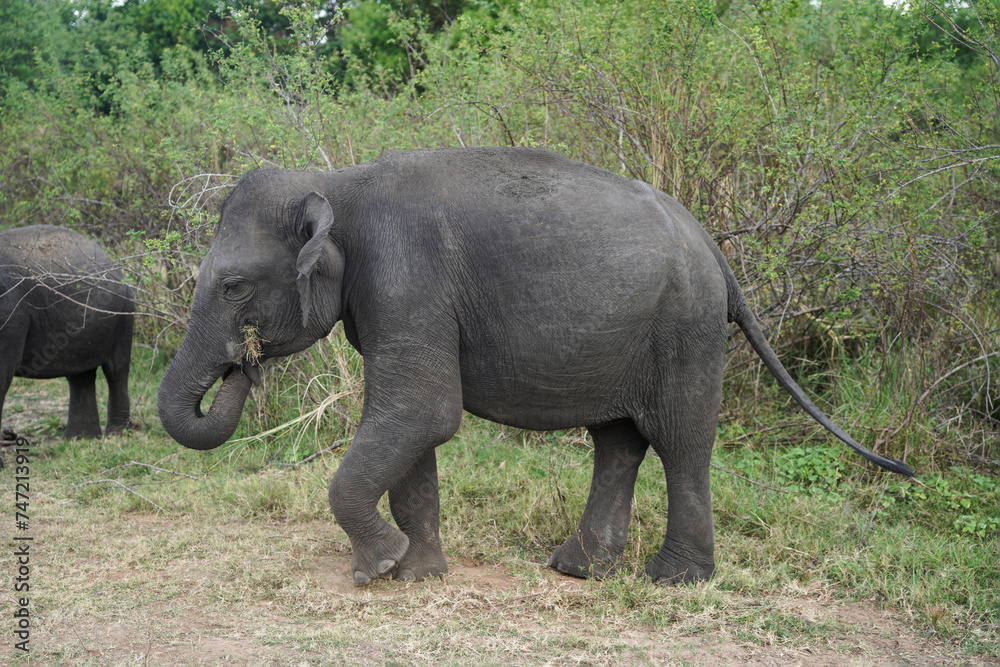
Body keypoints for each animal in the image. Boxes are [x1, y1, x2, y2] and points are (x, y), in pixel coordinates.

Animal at [1, 225, 133, 439]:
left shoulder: (12, 315)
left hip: (123, 312)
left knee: (116, 370)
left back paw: (116, 433)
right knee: (81, 375)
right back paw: (79, 438)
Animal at [157, 147, 913, 587]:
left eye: (233, 286)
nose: (243, 367)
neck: (337, 185)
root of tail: (715, 252)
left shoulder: (407, 278)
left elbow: (424, 410)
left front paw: (378, 569)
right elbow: (415, 423)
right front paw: (417, 574)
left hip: (686, 327)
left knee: (681, 441)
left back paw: (672, 580)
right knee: (618, 440)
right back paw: (580, 569)